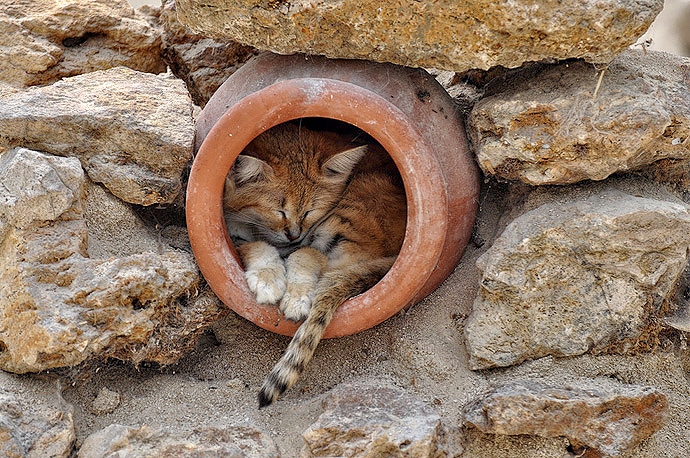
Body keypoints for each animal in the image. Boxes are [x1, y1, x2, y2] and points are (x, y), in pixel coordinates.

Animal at [223, 121, 406, 408]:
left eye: (309, 211)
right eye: (280, 212)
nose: (294, 234)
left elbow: (300, 254)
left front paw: (290, 293)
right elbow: (258, 246)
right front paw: (268, 279)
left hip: (352, 209)